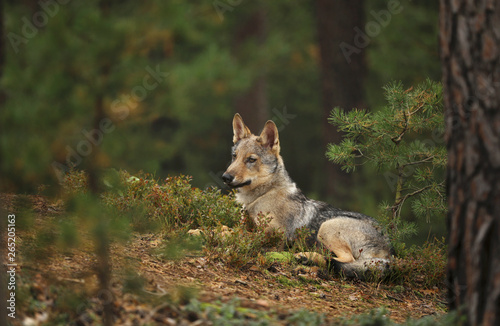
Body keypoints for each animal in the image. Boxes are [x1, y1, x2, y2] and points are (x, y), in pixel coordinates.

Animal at [221, 113, 392, 276]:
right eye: (234, 156)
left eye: (251, 159)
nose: (225, 177)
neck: (262, 195)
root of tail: (390, 250)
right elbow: (229, 227)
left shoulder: (273, 237)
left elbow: (233, 232)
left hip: (328, 227)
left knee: (344, 260)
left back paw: (305, 256)